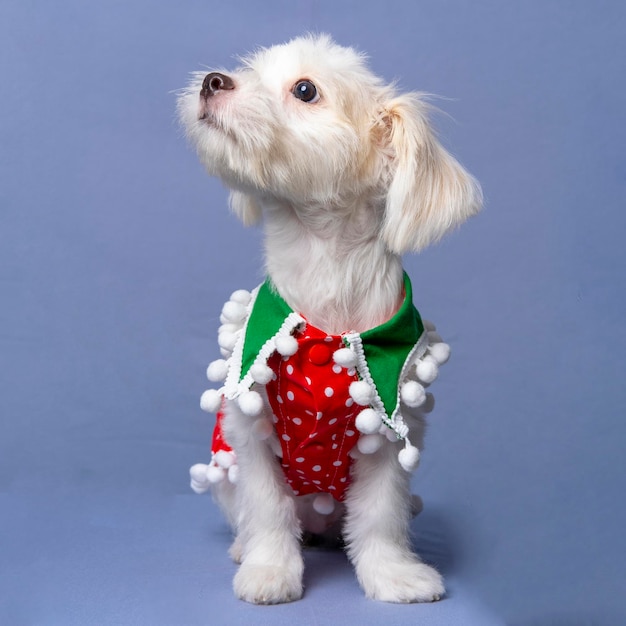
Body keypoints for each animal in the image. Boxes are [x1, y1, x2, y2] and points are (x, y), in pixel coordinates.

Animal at [178, 33, 480, 600]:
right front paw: (269, 569)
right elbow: (268, 508)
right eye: (252, 68)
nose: (212, 80)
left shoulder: (388, 436)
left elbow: (381, 516)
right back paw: (245, 547)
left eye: (305, 90)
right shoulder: (251, 432)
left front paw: (393, 573)